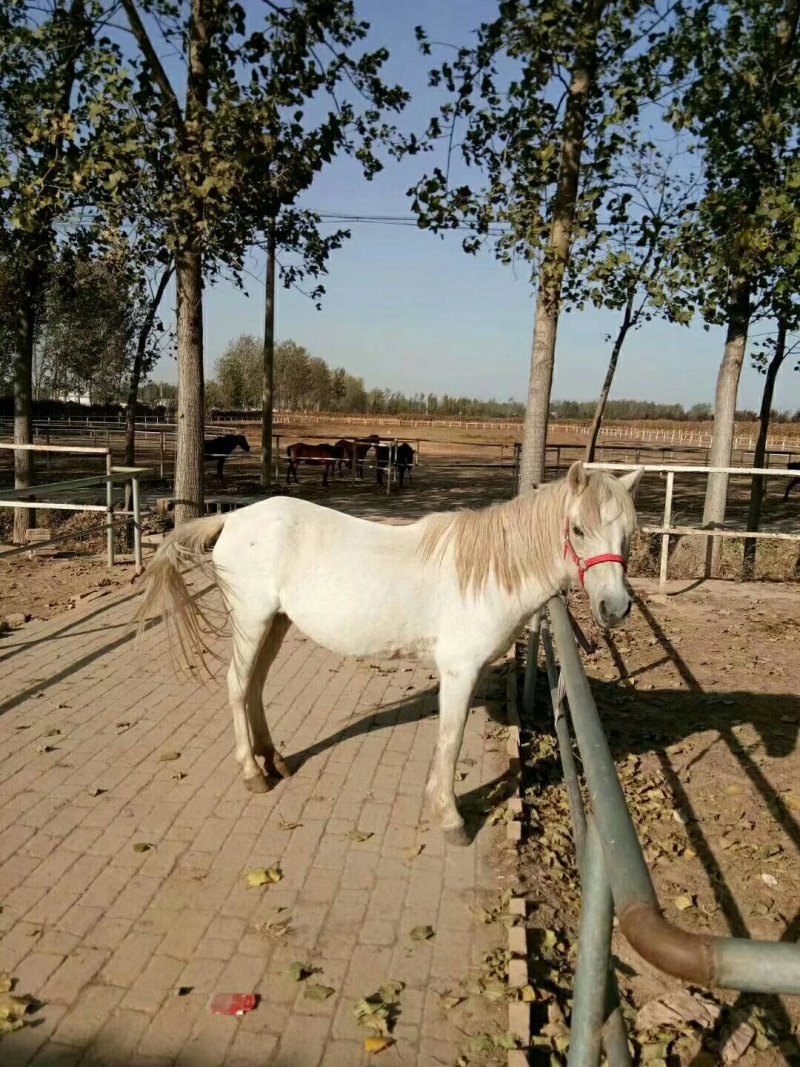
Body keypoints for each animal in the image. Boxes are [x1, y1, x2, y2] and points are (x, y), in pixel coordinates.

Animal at [139, 461, 642, 844]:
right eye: (577, 529)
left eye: (629, 533)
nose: (615, 608)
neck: (488, 570)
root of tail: (234, 520)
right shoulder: (459, 671)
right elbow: (451, 739)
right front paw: (449, 817)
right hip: (251, 620)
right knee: (238, 685)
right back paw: (252, 772)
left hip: (275, 623)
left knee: (256, 686)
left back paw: (274, 759)